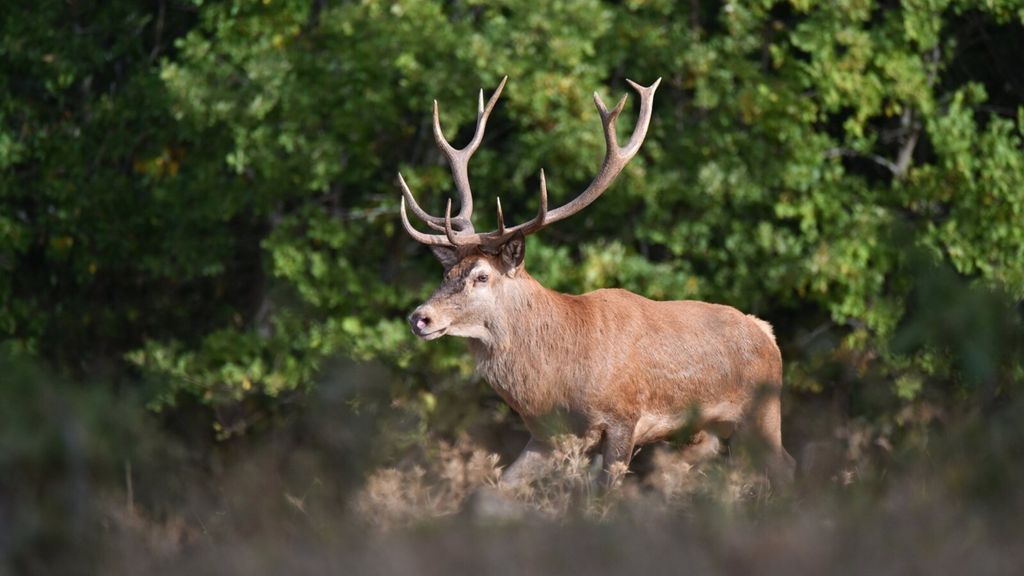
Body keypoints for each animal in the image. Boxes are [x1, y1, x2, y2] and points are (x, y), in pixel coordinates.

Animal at [395, 75, 794, 487]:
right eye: (447, 273)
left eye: (482, 275)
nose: (420, 317)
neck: (559, 377)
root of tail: (767, 333)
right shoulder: (547, 436)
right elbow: (499, 486)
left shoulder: (624, 417)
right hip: (716, 433)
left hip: (761, 413)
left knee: (786, 468)